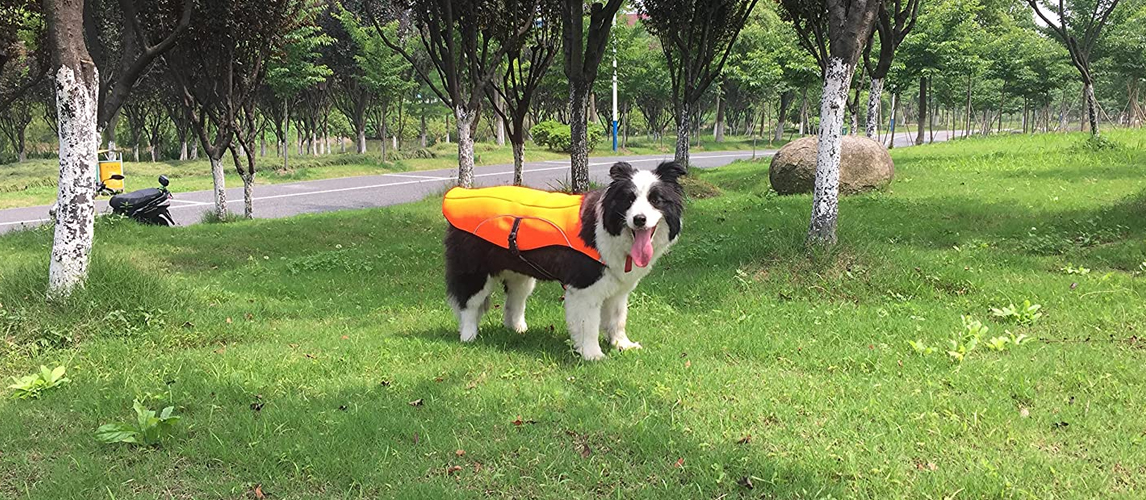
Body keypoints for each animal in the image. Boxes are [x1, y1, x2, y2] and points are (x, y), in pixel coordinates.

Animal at [442, 160, 683, 360]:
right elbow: (589, 325)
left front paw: (622, 345)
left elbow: (617, 318)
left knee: (514, 302)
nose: (639, 219)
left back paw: (518, 329)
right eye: (629, 199)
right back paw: (469, 336)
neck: (606, 230)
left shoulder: (617, 289)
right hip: (475, 274)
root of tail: (458, 194)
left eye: (655, 200)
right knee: (468, 305)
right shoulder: (585, 289)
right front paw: (593, 355)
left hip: (520, 275)